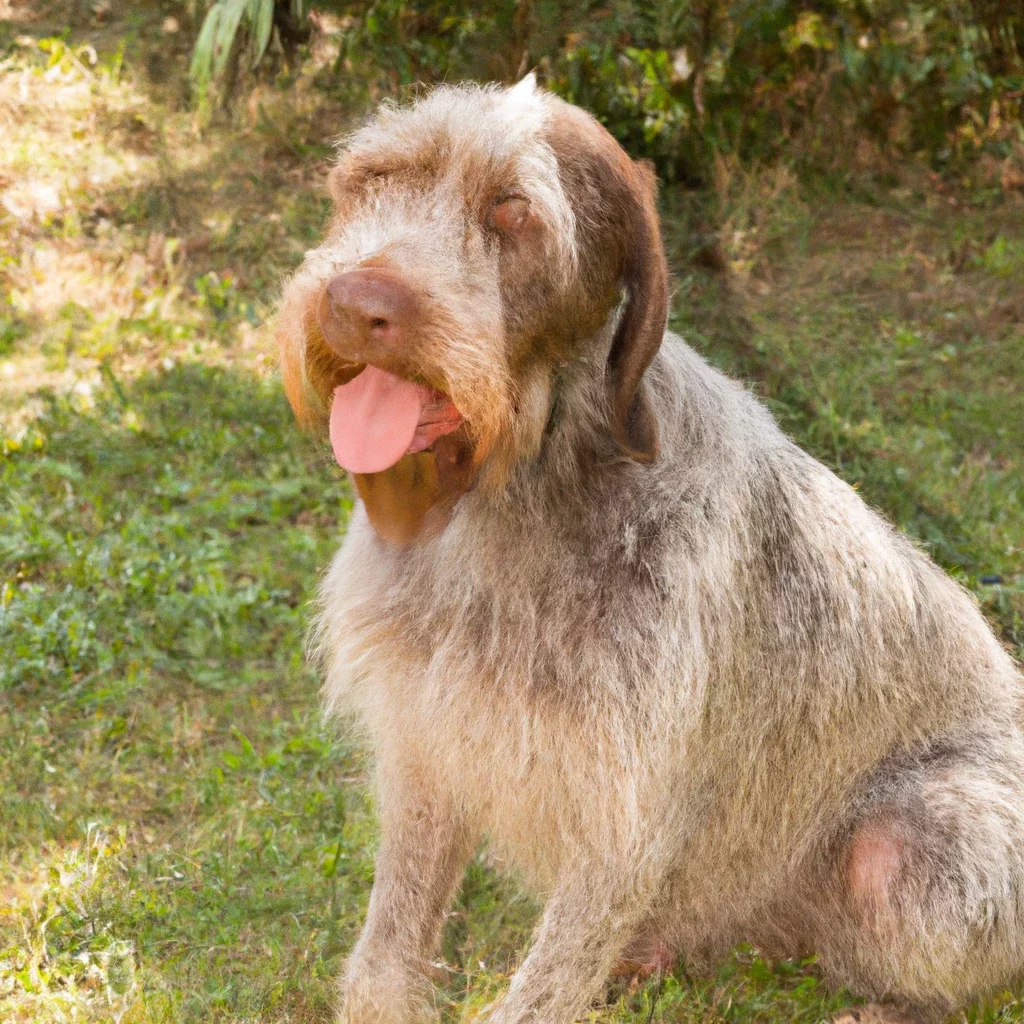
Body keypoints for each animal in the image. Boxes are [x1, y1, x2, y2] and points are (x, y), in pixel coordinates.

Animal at [276, 77, 1024, 1024]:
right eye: (372, 178)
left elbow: (541, 986)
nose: (355, 303)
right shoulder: (426, 750)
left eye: (512, 210)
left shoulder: (622, 826)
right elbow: (387, 953)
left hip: (914, 850)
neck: (516, 490)